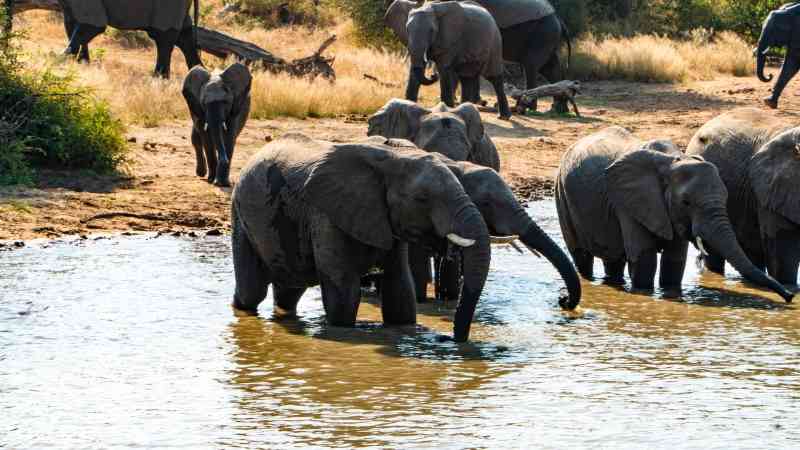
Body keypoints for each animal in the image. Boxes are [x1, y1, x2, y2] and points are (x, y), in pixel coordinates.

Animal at [57, 0, 202, 78]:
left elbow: (94, 25)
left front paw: (58, 61)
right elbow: (70, 24)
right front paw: (81, 64)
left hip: (169, 4)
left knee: (164, 38)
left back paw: (158, 79)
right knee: (184, 37)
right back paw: (197, 72)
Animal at [231, 133, 491, 342]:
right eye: (422, 199)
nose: (449, 339)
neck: (394, 156)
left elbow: (400, 289)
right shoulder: (326, 214)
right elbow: (344, 292)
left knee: (289, 290)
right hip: (241, 214)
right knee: (252, 291)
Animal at [385, 0, 570, 114]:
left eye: (432, 31)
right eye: (406, 29)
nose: (432, 74)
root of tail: (559, 19)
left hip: (542, 33)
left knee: (531, 66)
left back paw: (523, 108)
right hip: (547, 36)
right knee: (549, 68)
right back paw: (558, 109)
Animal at [555, 126, 794, 302]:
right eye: (686, 202)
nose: (790, 297)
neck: (672, 160)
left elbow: (674, 261)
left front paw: (670, 294)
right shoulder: (628, 202)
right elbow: (645, 260)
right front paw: (644, 295)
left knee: (613, 260)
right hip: (562, 196)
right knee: (581, 256)